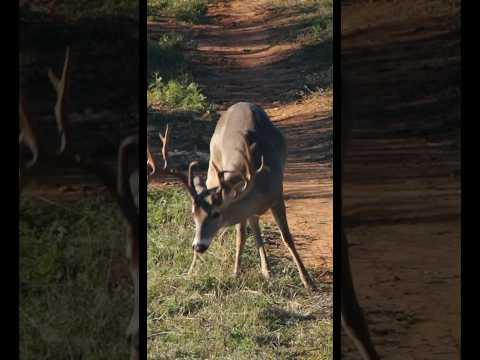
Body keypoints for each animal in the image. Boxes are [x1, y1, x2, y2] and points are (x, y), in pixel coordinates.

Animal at [148, 100, 316, 290]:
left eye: (216, 214)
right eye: (193, 214)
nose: (198, 246)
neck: (260, 180)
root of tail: (241, 103)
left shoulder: (277, 195)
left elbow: (287, 237)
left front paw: (308, 281)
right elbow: (240, 237)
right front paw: (236, 273)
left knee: (255, 224)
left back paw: (267, 270)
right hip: (213, 165)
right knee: (250, 225)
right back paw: (191, 271)